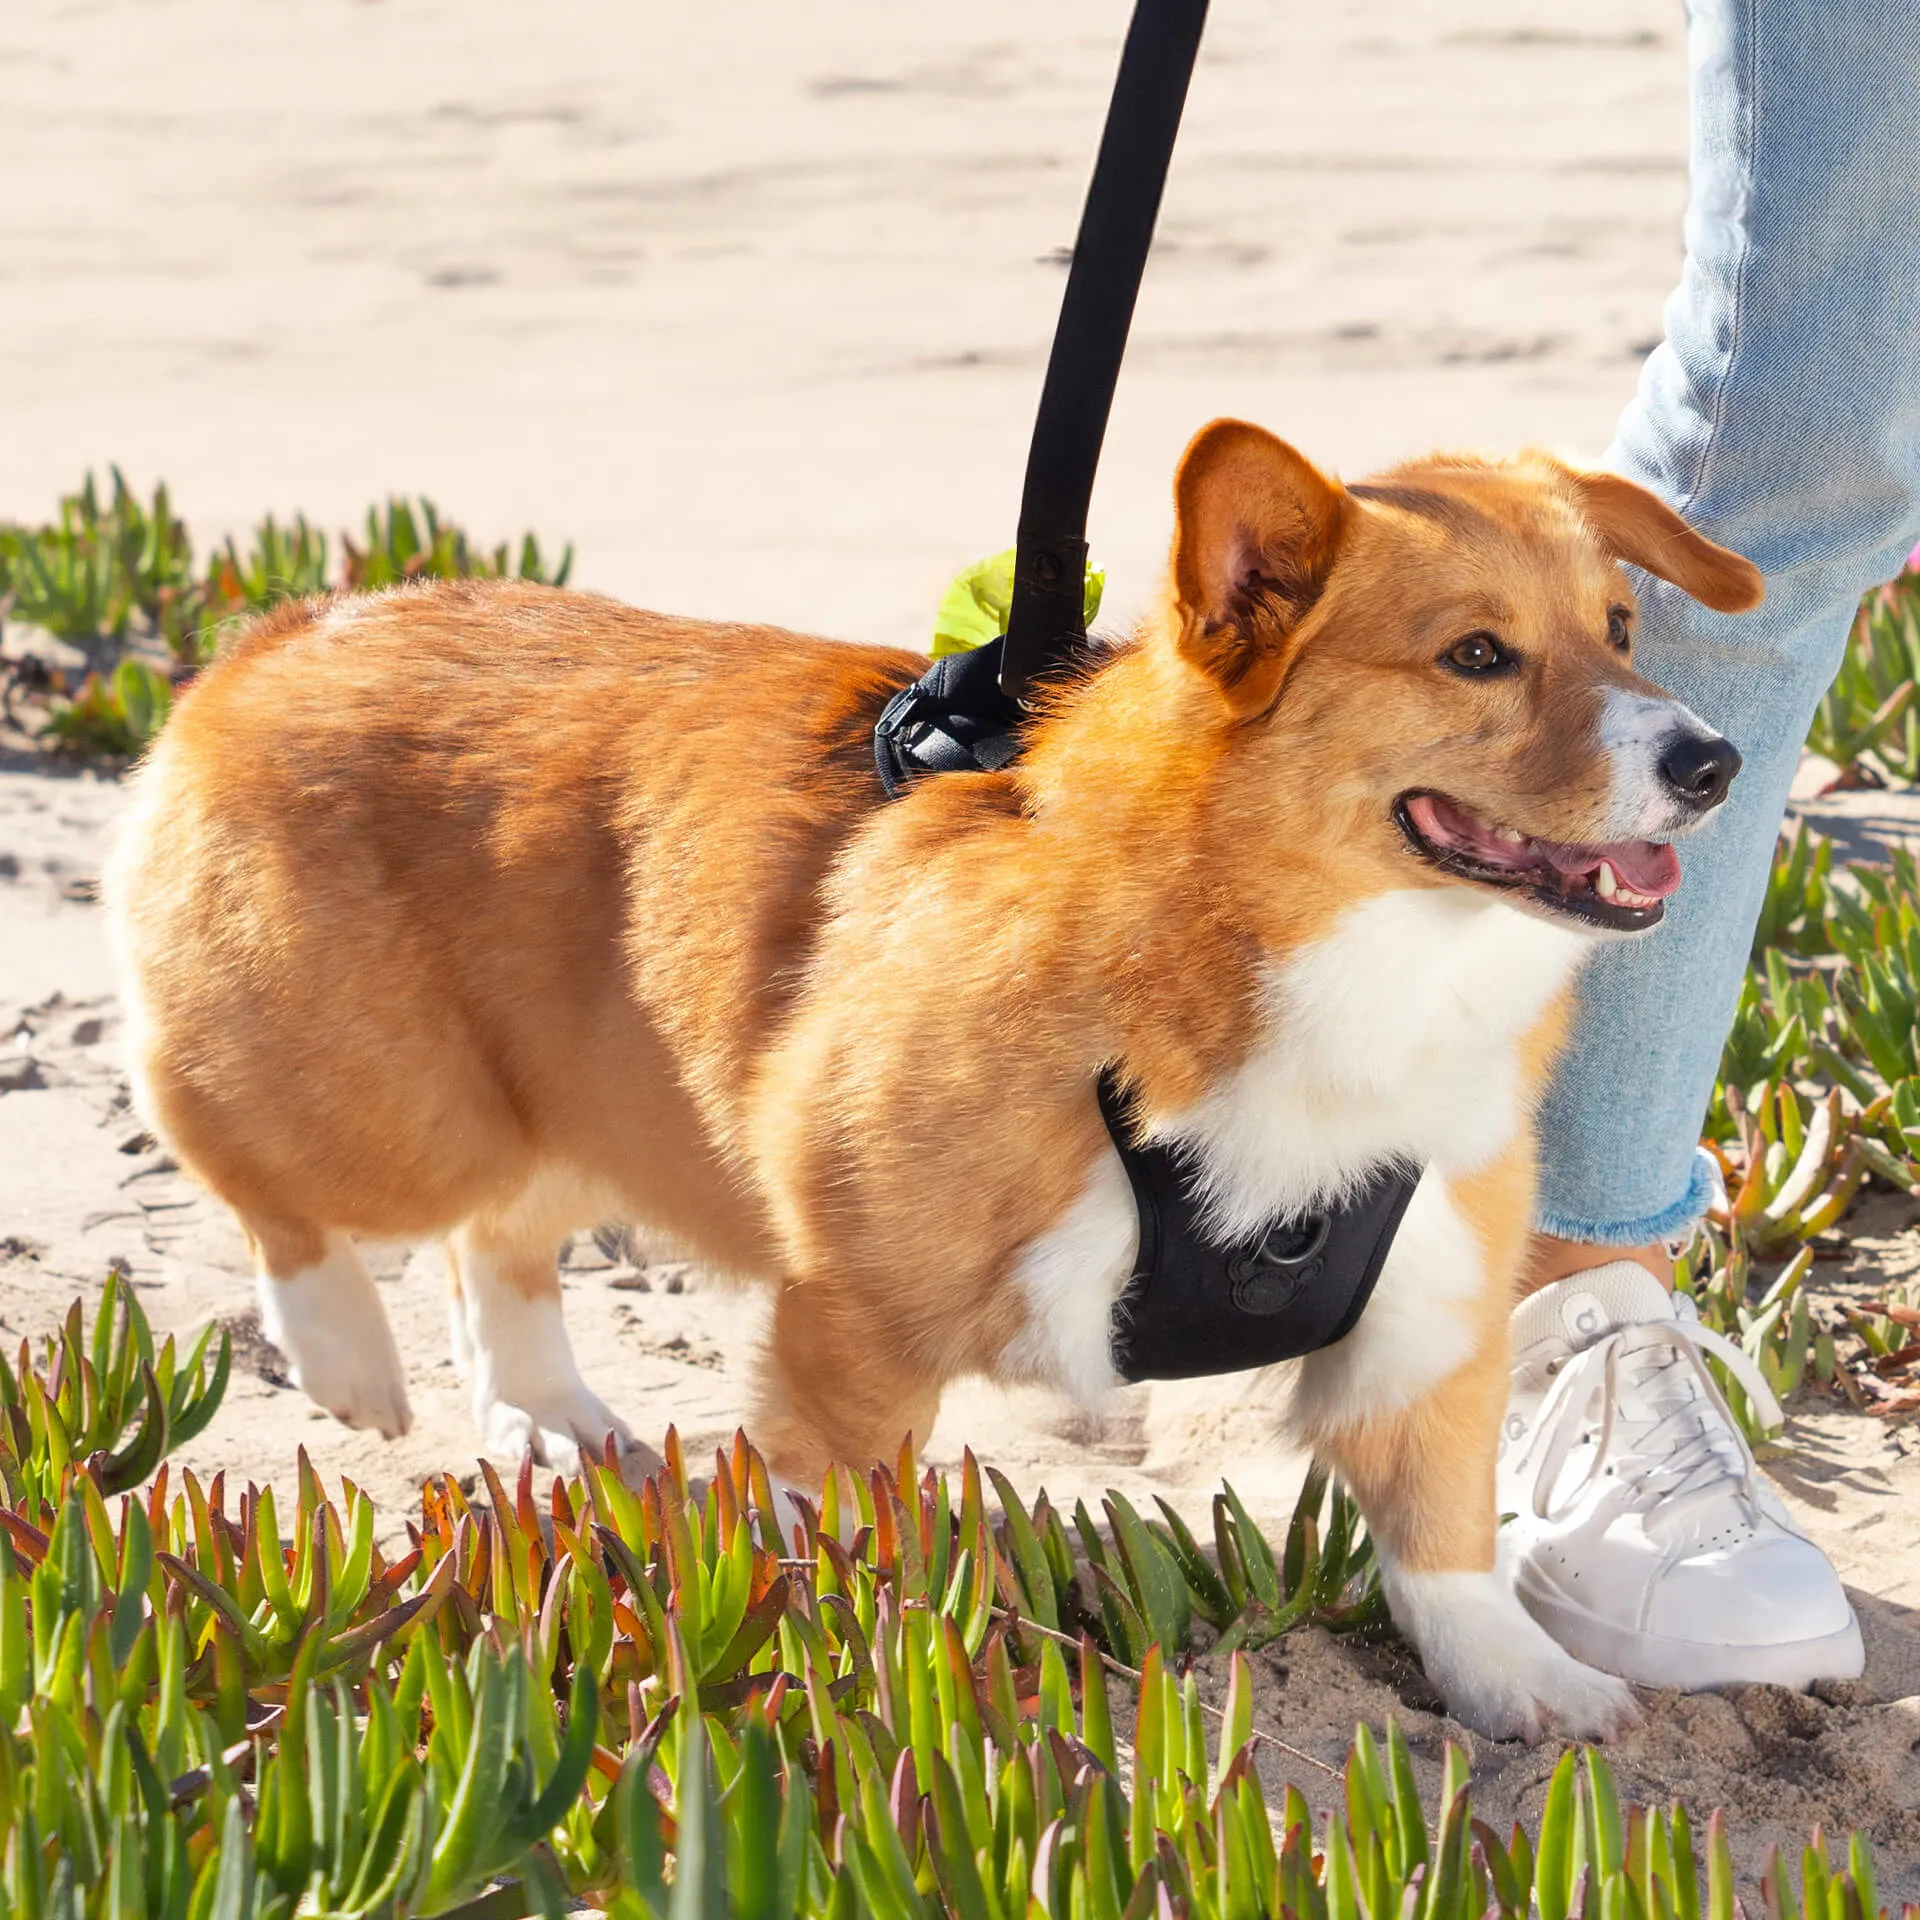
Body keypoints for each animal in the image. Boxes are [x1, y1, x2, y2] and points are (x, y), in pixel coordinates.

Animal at [105, 420, 1758, 1743]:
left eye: (1624, 627)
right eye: (1477, 654)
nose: (1716, 764)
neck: (1327, 957)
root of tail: (281, 631)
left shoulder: (1429, 1316)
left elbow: (1443, 1538)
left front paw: (1523, 1684)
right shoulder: (857, 1329)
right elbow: (838, 1540)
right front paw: (849, 1673)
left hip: (565, 1103)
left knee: (501, 1239)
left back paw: (546, 1412)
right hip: (395, 1115)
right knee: (251, 1162)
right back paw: (344, 1360)